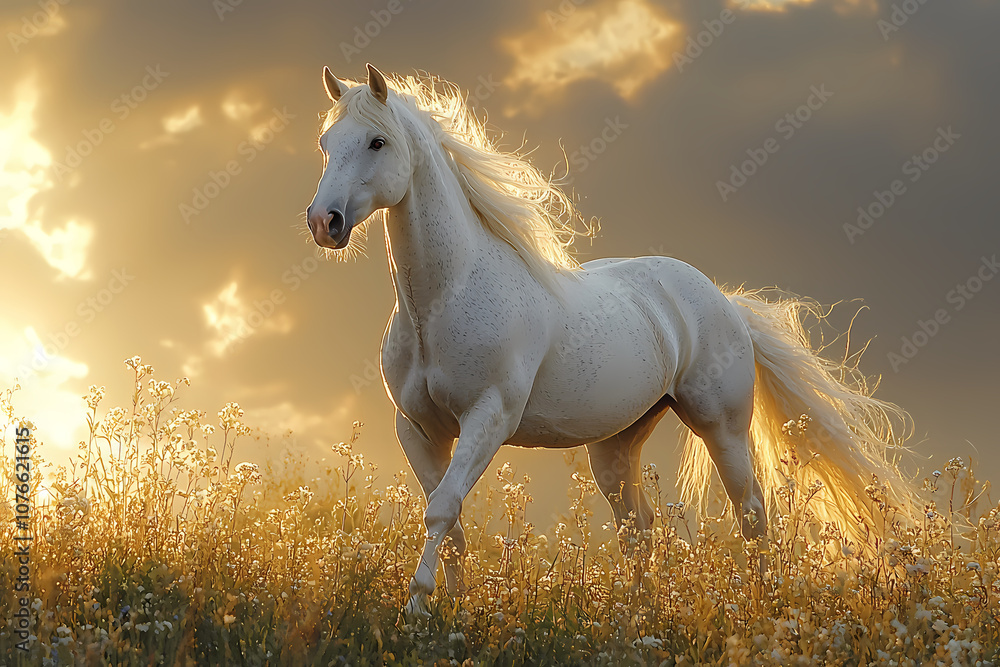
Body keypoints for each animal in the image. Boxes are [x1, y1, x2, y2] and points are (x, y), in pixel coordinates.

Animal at [305, 64, 917, 615]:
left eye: (378, 141)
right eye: (326, 143)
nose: (323, 222)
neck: (444, 300)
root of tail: (724, 302)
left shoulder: (488, 417)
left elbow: (442, 508)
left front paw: (416, 606)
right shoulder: (417, 429)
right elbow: (445, 517)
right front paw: (439, 611)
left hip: (722, 428)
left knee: (750, 513)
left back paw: (761, 605)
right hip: (616, 445)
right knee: (637, 529)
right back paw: (636, 617)